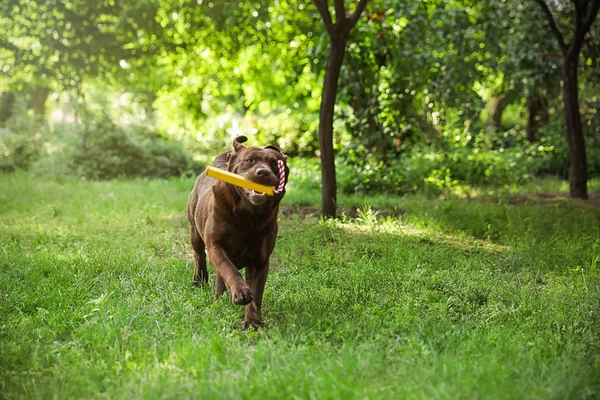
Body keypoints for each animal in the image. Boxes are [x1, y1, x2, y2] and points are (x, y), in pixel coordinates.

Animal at [188, 135, 290, 328]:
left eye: (275, 163)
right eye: (250, 161)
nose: (263, 172)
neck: (247, 215)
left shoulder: (260, 260)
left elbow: (256, 293)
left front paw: (253, 322)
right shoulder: (216, 246)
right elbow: (228, 268)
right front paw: (240, 291)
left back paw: (219, 297)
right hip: (194, 232)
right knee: (200, 256)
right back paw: (200, 281)